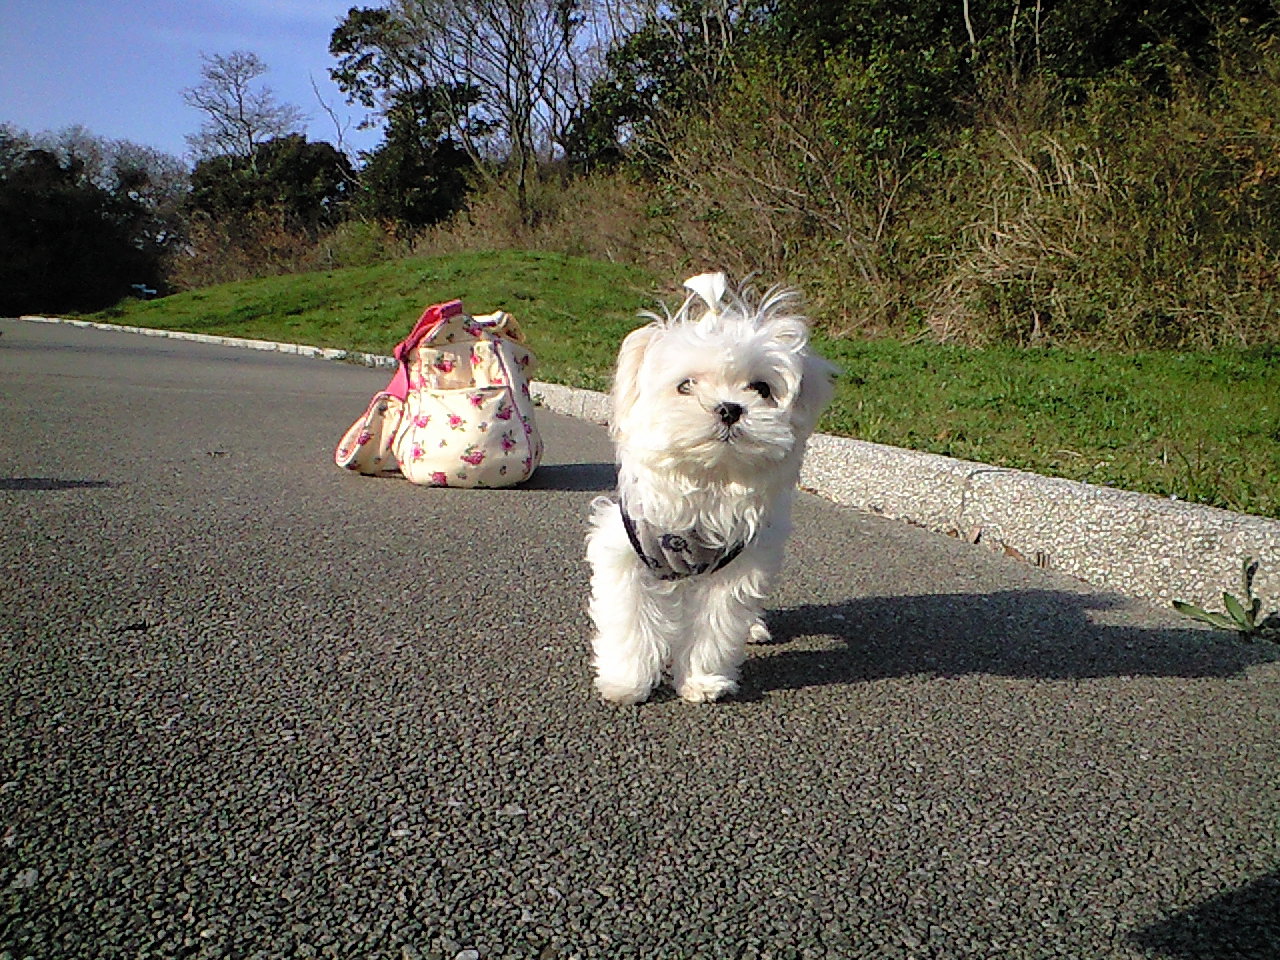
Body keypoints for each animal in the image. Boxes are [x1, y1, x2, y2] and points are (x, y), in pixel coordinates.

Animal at [586, 272, 834, 706]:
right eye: (686, 385)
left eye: (761, 388)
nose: (730, 408)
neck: (708, 480)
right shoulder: (625, 553)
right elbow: (629, 621)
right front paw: (626, 682)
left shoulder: (737, 566)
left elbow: (715, 627)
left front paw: (702, 682)